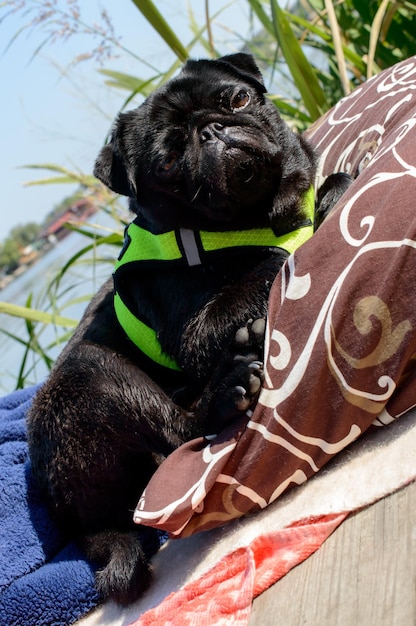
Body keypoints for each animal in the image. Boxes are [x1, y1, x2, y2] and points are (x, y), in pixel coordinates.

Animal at [26, 54, 352, 604]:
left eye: (238, 99)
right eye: (168, 161)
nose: (213, 130)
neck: (253, 220)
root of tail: (67, 511)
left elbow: (333, 184)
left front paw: (331, 193)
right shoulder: (199, 331)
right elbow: (272, 258)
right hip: (94, 377)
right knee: (180, 432)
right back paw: (227, 388)